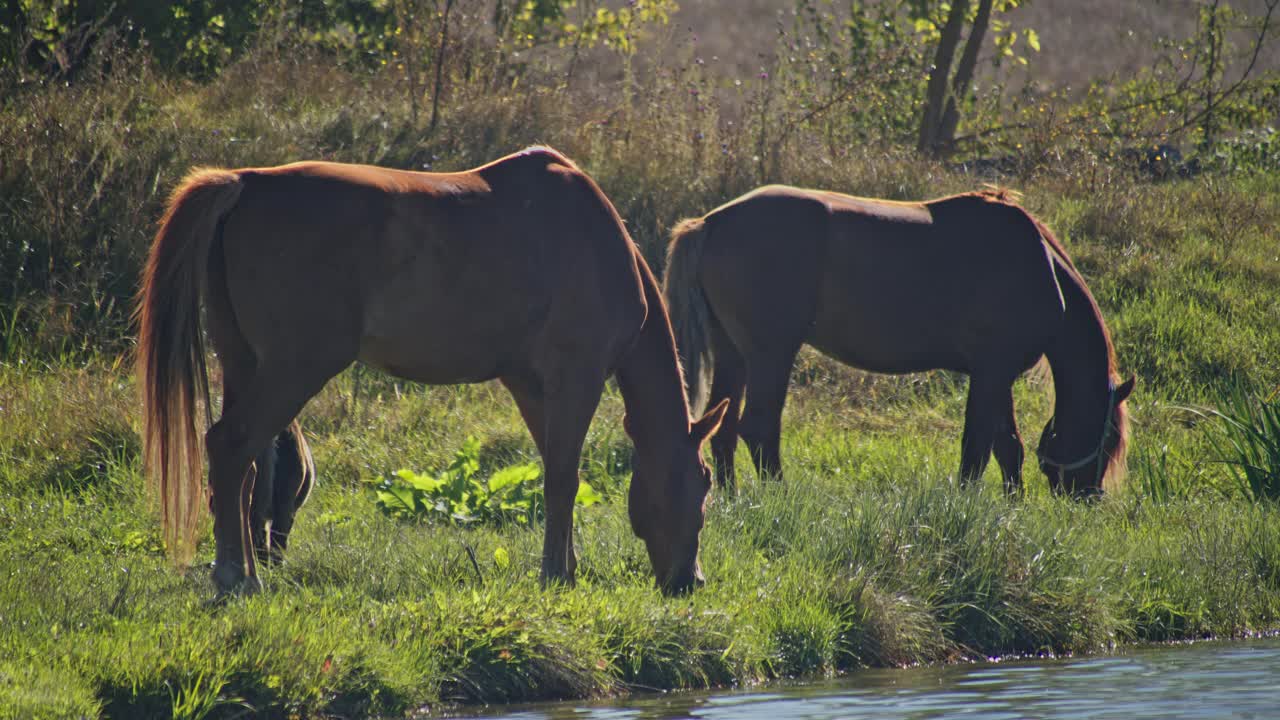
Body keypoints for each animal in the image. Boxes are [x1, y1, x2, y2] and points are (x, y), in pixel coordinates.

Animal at [137, 146, 732, 594]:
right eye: (702, 482)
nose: (691, 581)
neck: (597, 242)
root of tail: (244, 183)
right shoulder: (575, 379)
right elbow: (564, 477)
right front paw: (556, 576)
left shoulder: (530, 386)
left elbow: (556, 475)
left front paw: (565, 567)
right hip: (293, 369)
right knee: (230, 447)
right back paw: (235, 577)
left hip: (243, 364)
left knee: (243, 470)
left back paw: (245, 571)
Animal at [665, 184, 1136, 497]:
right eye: (1109, 438)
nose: (1088, 495)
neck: (1038, 267)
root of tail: (709, 223)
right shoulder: (991, 373)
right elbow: (978, 446)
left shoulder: (996, 376)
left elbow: (1008, 448)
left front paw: (1012, 504)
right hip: (771, 355)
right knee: (758, 428)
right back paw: (779, 494)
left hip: (734, 355)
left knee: (723, 427)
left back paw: (731, 496)